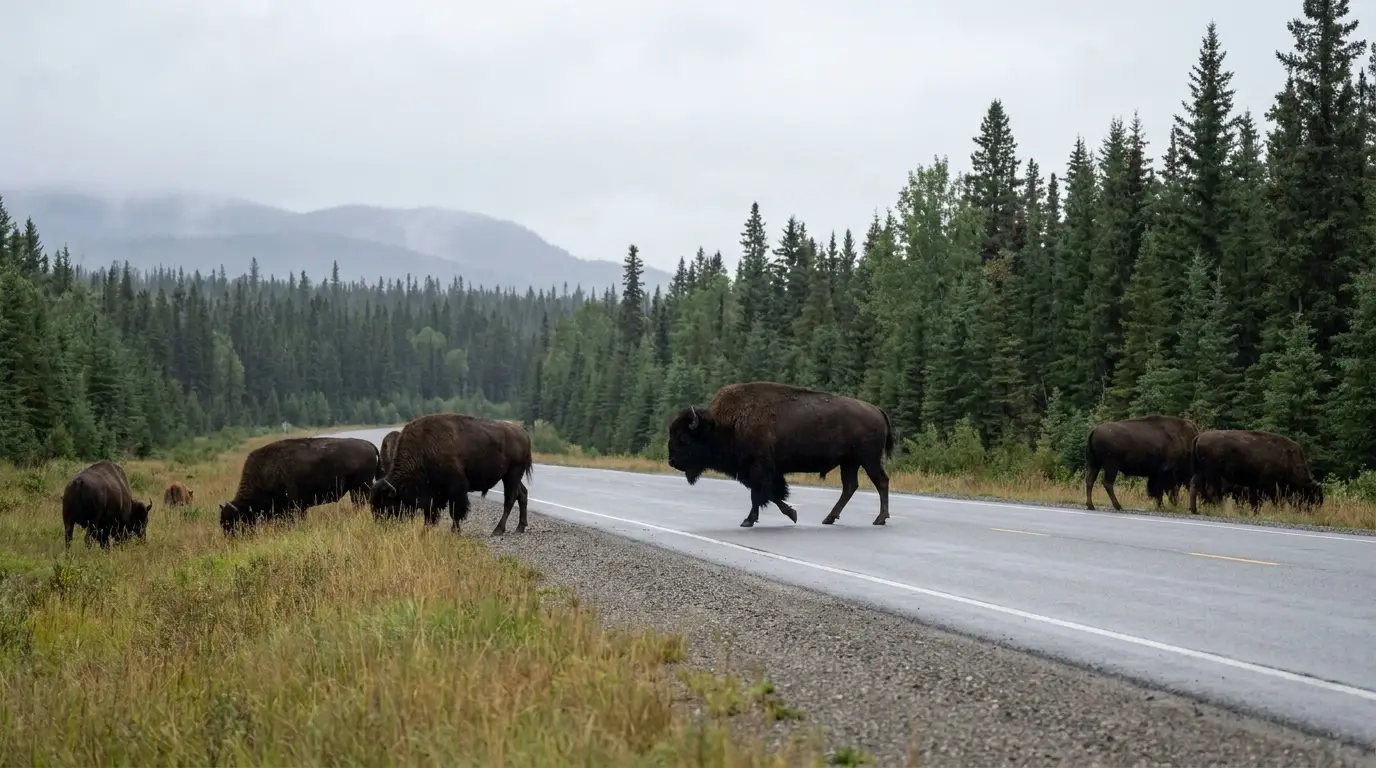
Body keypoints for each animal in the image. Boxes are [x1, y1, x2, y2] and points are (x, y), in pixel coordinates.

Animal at [220, 436, 381, 533]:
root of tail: (368, 444)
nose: (231, 538)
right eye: (223, 522)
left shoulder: (292, 507)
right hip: (357, 490)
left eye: (235, 521)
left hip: (361, 488)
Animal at [369, 413, 533, 536]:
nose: (381, 527)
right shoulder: (432, 495)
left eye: (387, 505)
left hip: (513, 473)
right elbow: (431, 513)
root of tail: (523, 434)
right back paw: (520, 527)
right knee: (522, 493)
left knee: (510, 498)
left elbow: (455, 511)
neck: (422, 452)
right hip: (510, 476)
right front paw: (425, 531)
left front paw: (454, 531)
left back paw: (498, 530)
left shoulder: (455, 489)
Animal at [666, 381, 894, 528]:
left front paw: (748, 520)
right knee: (850, 486)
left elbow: (760, 494)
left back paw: (879, 519)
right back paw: (829, 518)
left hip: (869, 459)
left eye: (684, 439)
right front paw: (792, 514)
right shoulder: (762, 472)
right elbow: (771, 494)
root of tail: (877, 410)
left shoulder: (759, 469)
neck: (723, 425)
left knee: (881, 482)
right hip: (850, 462)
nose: (672, 461)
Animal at [1189, 429, 1324, 514]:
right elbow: (1267, 501)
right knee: (1211, 491)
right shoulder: (1267, 487)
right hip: (1213, 473)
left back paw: (1194, 510)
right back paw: (1219, 509)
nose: (1309, 511)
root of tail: (1199, 437)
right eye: (1311, 496)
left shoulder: (1255, 486)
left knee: (1195, 487)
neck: (1288, 459)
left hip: (1201, 472)